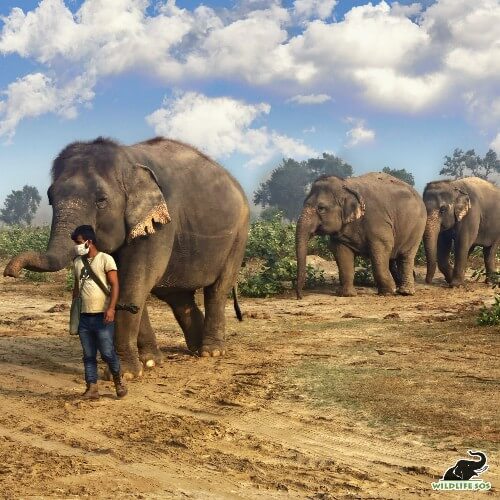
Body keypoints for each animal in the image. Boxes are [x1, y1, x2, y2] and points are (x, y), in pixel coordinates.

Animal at [294, 173, 428, 296]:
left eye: (321, 208)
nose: (300, 296)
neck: (346, 185)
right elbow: (341, 253)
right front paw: (347, 294)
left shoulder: (377, 220)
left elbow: (382, 248)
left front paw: (387, 293)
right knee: (393, 259)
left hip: (417, 227)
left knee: (406, 256)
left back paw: (405, 292)